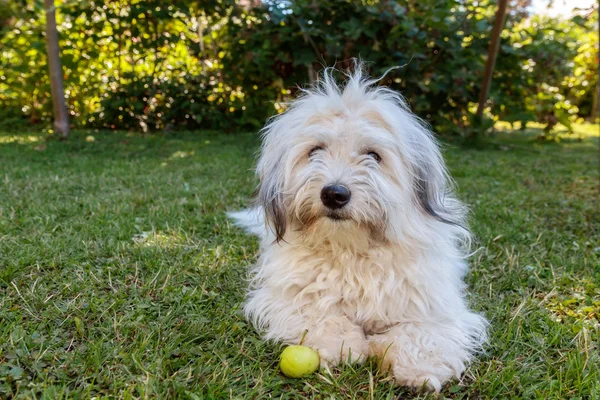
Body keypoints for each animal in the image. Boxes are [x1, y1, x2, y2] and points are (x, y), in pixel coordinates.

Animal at [230, 64, 488, 392]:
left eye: (373, 155)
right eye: (315, 150)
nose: (334, 194)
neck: (351, 249)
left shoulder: (435, 307)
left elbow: (420, 332)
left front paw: (418, 367)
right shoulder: (284, 297)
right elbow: (319, 312)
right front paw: (344, 345)